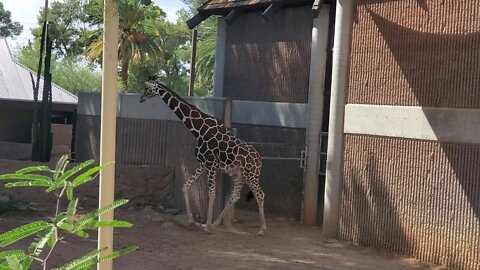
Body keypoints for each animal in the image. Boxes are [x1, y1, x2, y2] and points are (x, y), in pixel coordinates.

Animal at [139, 77, 268, 235]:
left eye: (146, 89)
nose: (141, 98)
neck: (199, 130)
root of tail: (259, 160)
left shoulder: (211, 164)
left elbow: (211, 193)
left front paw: (206, 226)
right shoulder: (203, 164)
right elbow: (185, 186)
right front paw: (191, 220)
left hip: (251, 175)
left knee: (260, 194)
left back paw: (262, 229)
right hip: (239, 175)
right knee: (235, 196)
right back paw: (216, 223)